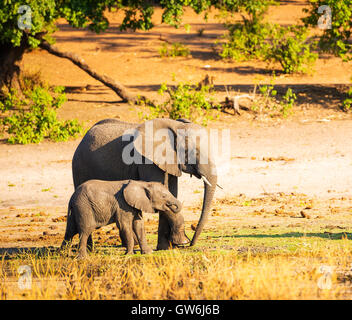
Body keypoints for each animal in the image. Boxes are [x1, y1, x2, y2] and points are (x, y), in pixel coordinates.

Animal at [60, 180, 188, 258]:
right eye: (164, 196)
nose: (173, 206)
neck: (143, 184)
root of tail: (72, 197)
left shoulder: (135, 205)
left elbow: (139, 225)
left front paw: (148, 252)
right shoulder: (122, 205)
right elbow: (124, 225)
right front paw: (130, 254)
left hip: (76, 209)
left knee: (70, 231)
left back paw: (62, 254)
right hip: (84, 208)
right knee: (84, 231)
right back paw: (82, 258)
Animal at [71, 118, 217, 250]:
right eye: (194, 152)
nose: (191, 244)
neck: (176, 125)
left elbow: (170, 193)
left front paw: (165, 248)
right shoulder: (146, 160)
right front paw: (181, 242)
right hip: (80, 167)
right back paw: (90, 249)